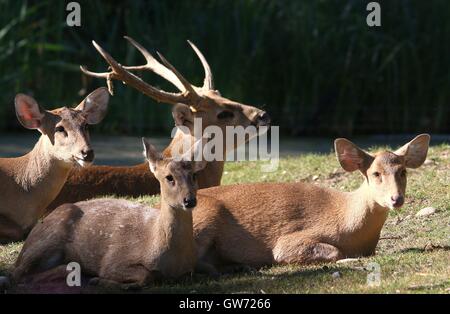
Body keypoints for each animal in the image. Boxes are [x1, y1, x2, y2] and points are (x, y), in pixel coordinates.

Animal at [13, 139, 207, 290]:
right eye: (169, 177)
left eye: (194, 175)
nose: (189, 200)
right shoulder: (113, 260)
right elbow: (145, 275)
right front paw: (101, 280)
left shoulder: (189, 270)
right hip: (47, 238)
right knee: (18, 273)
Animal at [192, 134, 430, 272]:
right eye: (376, 173)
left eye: (403, 171)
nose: (396, 198)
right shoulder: (291, 239)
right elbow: (334, 252)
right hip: (205, 214)